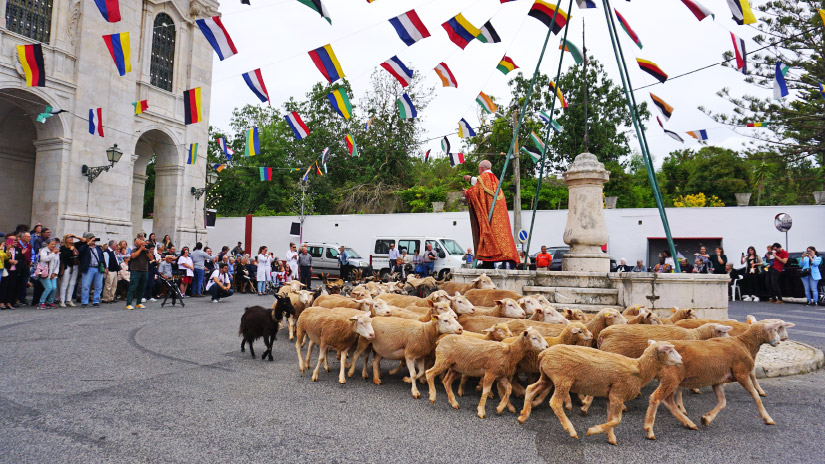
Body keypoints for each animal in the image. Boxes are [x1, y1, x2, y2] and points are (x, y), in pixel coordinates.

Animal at [516, 338, 684, 444]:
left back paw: (523, 416)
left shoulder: (611, 396)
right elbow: (617, 420)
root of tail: (543, 354)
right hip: (562, 379)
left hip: (547, 377)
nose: (682, 360)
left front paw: (611, 438)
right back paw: (571, 430)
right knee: (555, 403)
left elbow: (611, 418)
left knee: (531, 389)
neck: (640, 370)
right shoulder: (618, 394)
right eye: (670, 350)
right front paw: (592, 430)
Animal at [640, 320, 788, 440]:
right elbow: (755, 396)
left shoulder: (717, 380)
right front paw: (767, 418)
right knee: (655, 398)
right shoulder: (741, 373)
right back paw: (649, 430)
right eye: (775, 330)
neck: (743, 343)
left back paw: (689, 423)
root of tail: (654, 346)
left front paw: (706, 418)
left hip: (671, 379)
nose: (779, 341)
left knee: (668, 401)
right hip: (671, 378)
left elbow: (722, 402)